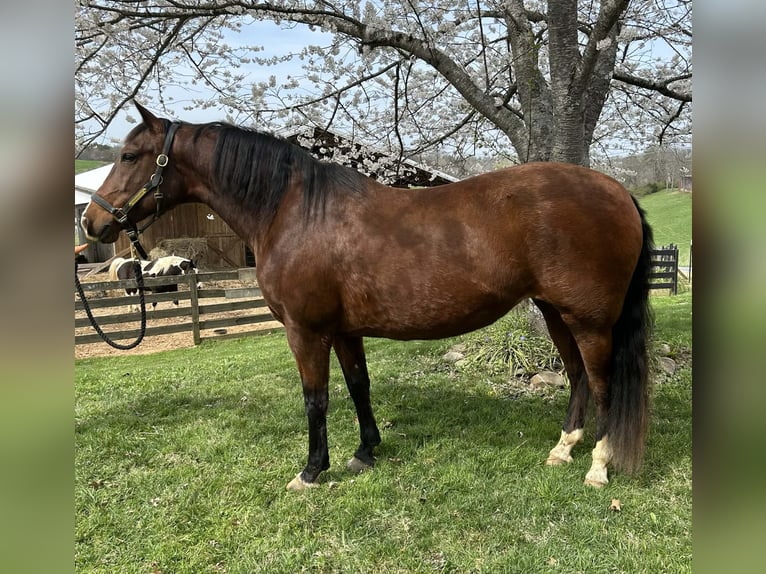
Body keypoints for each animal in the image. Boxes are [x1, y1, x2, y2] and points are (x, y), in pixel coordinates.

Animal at [81, 102, 653, 491]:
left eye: (129, 155)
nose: (92, 223)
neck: (294, 211)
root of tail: (618, 190)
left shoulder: (306, 331)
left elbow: (315, 398)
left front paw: (312, 471)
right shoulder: (343, 329)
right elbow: (359, 386)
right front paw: (365, 452)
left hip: (589, 319)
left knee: (603, 384)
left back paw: (599, 467)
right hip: (556, 312)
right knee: (577, 377)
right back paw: (563, 450)